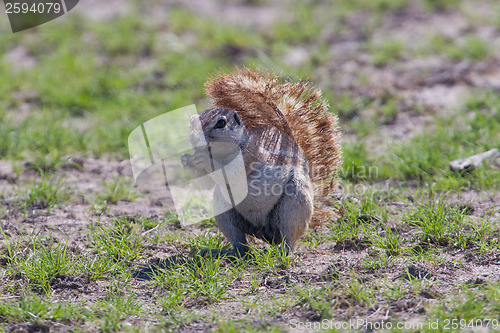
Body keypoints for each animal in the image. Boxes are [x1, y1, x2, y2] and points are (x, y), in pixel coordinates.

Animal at [179, 67, 340, 254]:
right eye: (192, 124)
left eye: (220, 123)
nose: (194, 138)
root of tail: (264, 233)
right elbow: (206, 184)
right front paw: (186, 160)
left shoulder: (249, 157)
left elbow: (232, 175)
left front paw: (203, 158)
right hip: (223, 208)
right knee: (241, 247)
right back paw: (223, 252)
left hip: (294, 203)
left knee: (288, 237)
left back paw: (284, 252)